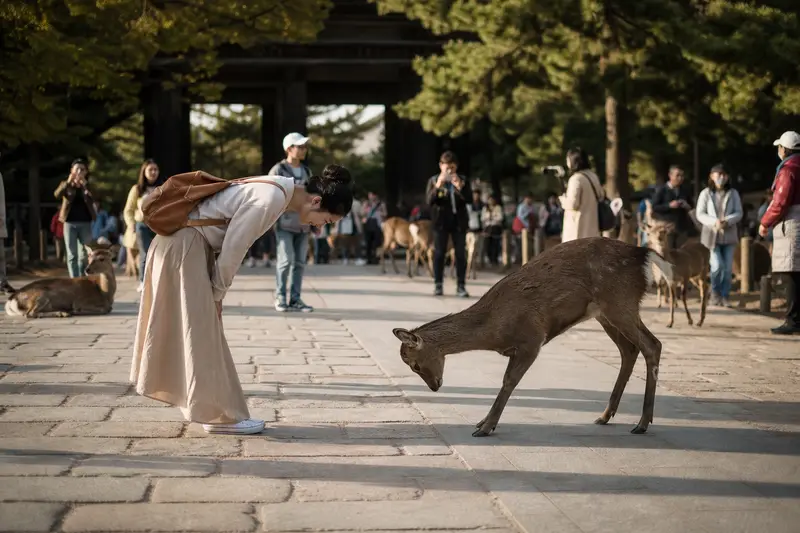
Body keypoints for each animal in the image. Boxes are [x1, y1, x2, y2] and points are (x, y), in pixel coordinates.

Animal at [393, 237, 671, 437]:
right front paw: (483, 422)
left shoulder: (532, 339)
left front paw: (485, 427)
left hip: (620, 302)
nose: (434, 386)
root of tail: (644, 254)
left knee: (652, 344)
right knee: (629, 349)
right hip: (605, 313)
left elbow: (508, 380)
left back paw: (642, 423)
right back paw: (605, 415)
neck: (493, 327)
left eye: (414, 363)